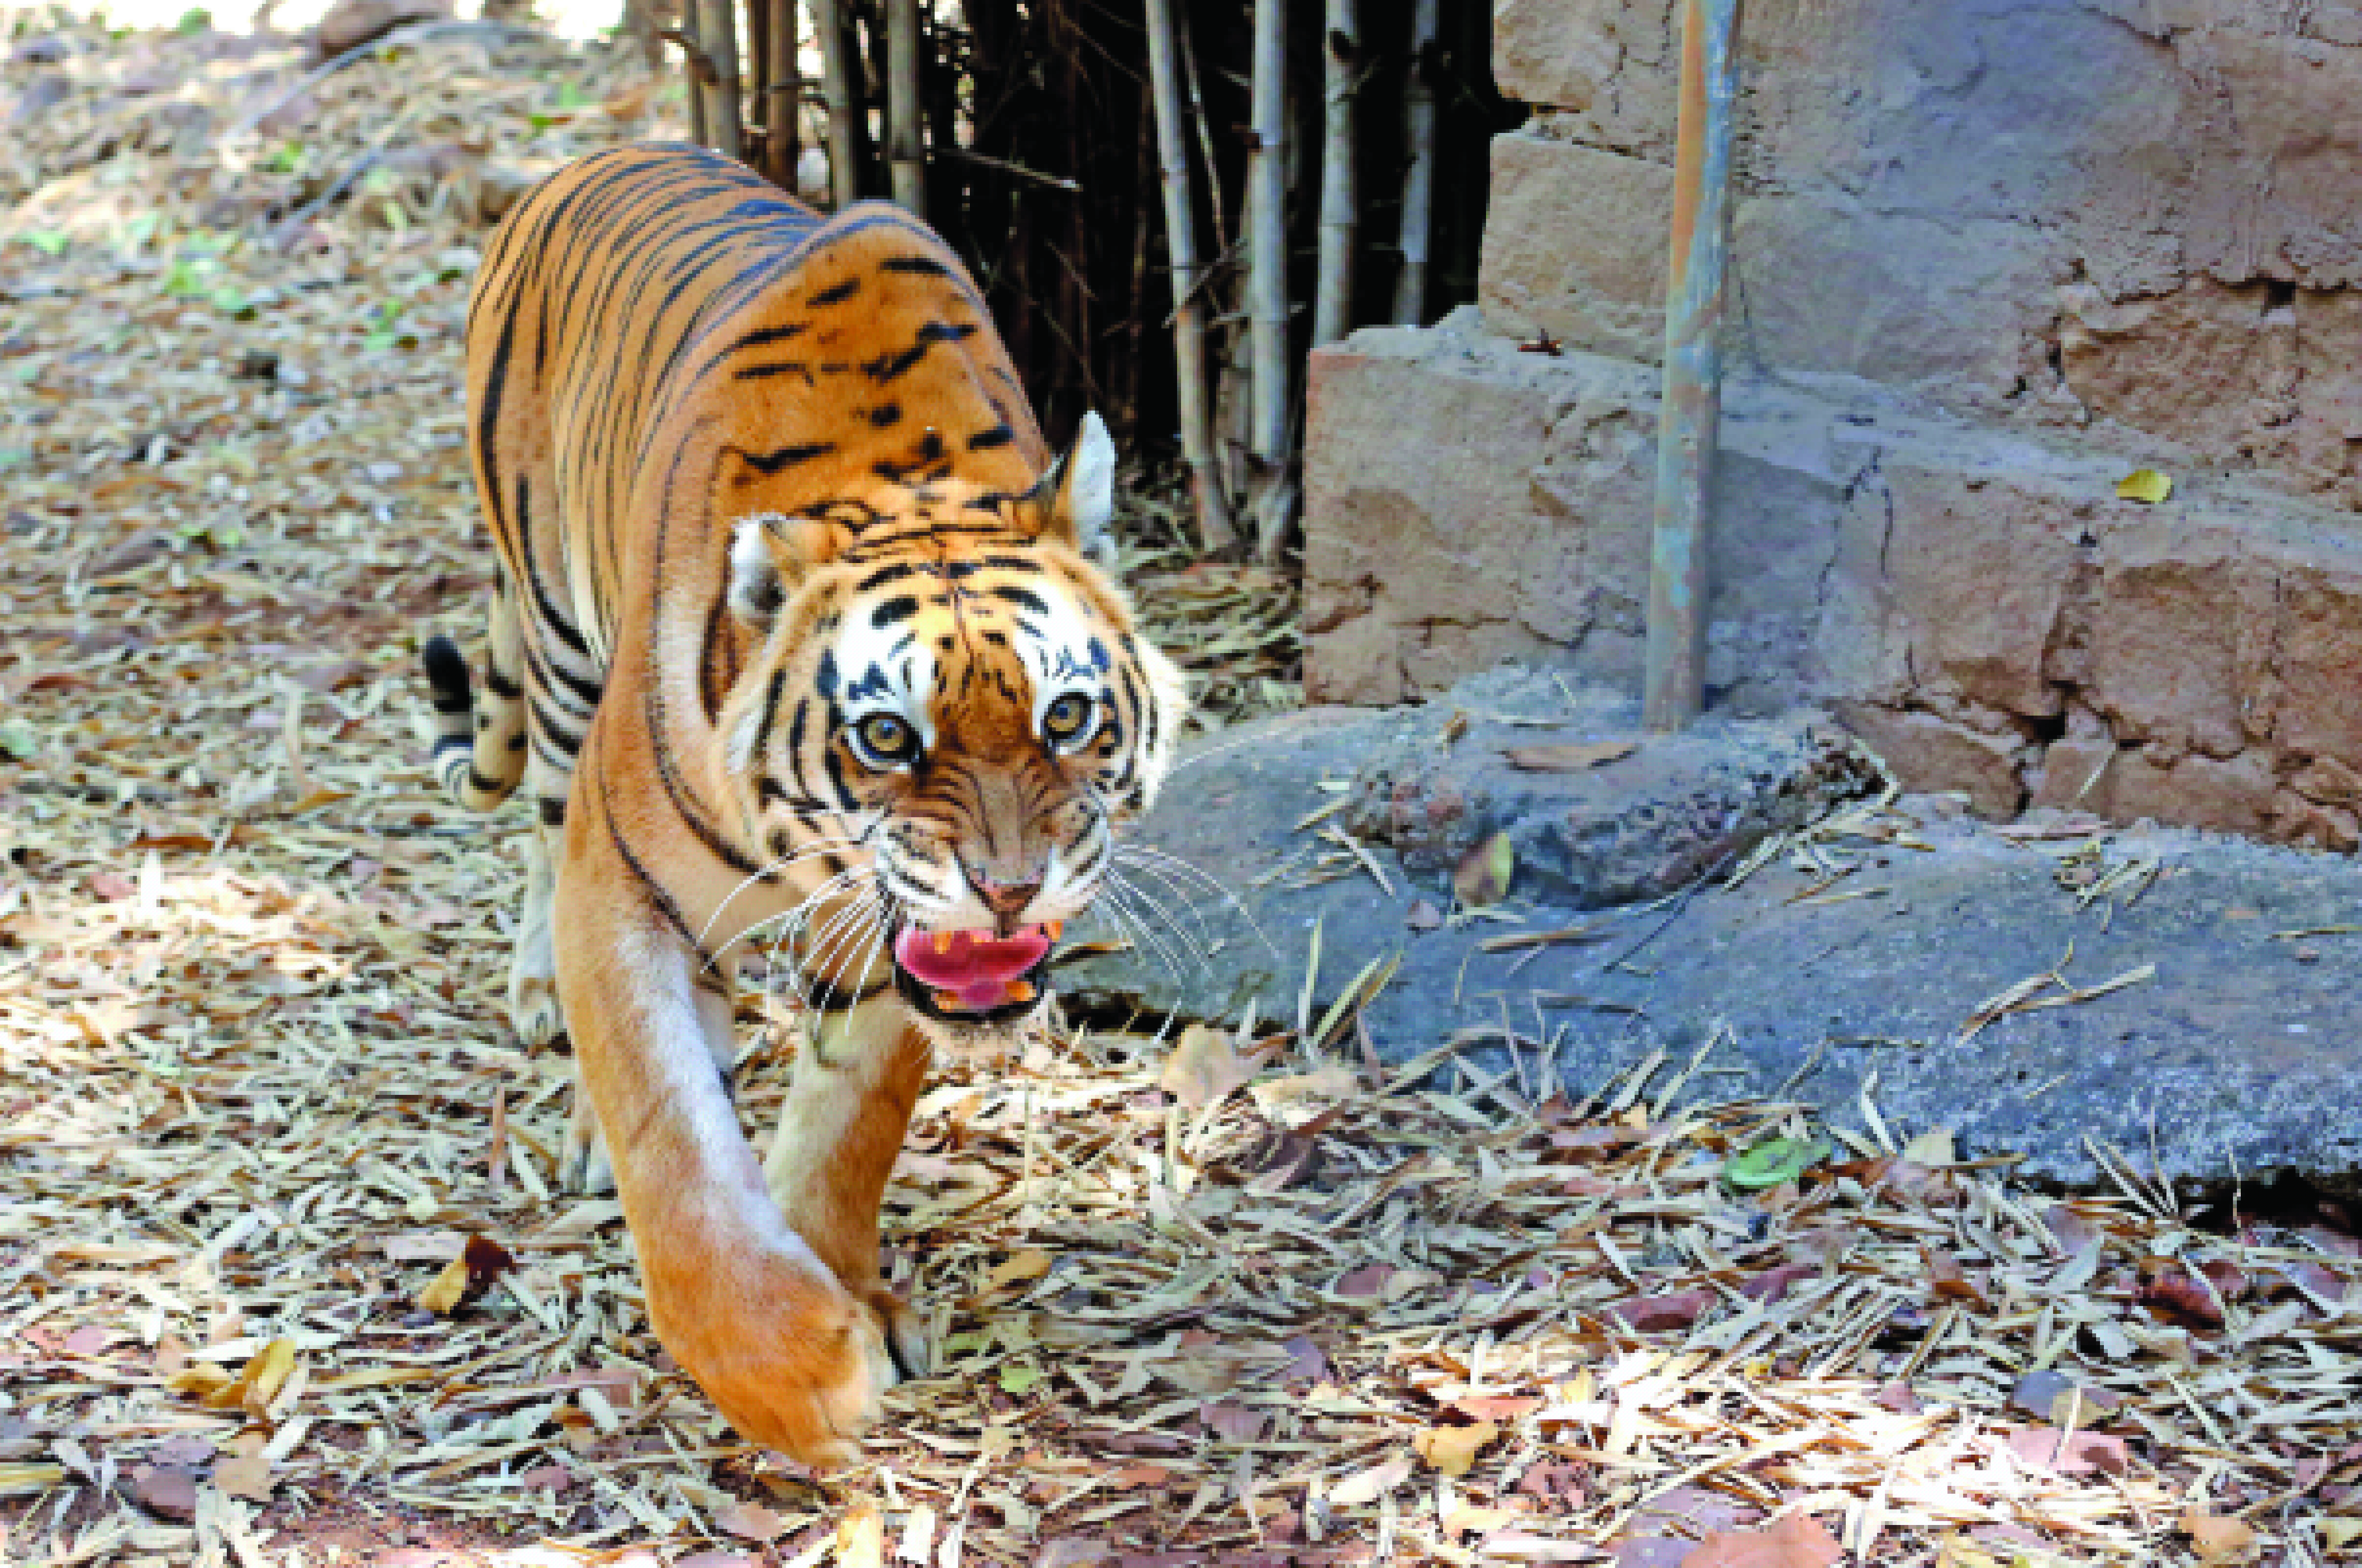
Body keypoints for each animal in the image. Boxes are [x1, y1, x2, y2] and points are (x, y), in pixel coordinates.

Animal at [420, 143, 1187, 1464]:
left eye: (1066, 717)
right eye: (888, 736)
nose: (1009, 890)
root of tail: (590, 156)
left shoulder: (887, 941)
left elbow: (847, 1131)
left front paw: (846, 1292)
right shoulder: (622, 886)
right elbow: (669, 1136)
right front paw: (793, 1373)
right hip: (559, 654)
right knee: (538, 835)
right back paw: (542, 1013)